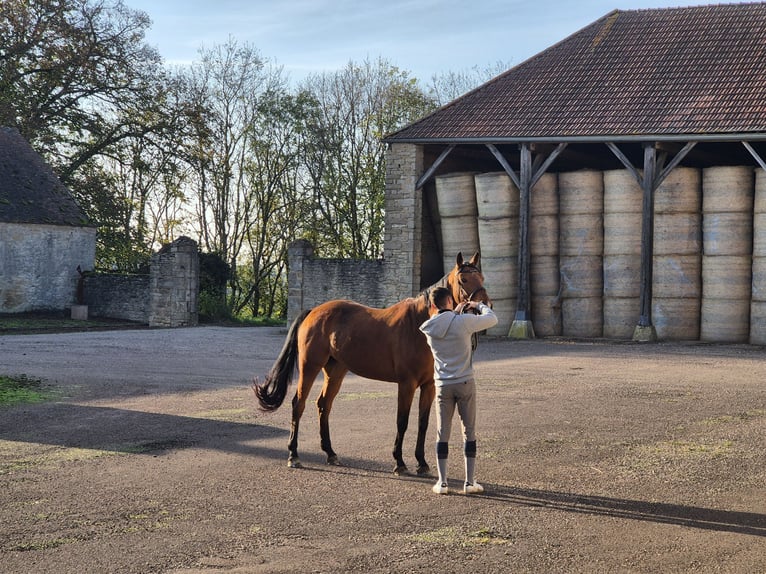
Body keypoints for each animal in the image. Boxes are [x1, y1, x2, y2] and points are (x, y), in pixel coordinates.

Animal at [255, 254, 488, 474]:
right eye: (464, 279)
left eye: (482, 278)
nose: (484, 306)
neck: (420, 324)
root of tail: (313, 311)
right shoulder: (406, 384)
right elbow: (402, 421)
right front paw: (399, 462)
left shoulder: (429, 385)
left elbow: (423, 422)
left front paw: (421, 462)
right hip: (309, 366)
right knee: (298, 404)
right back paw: (293, 455)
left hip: (335, 371)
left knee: (324, 405)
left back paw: (330, 453)